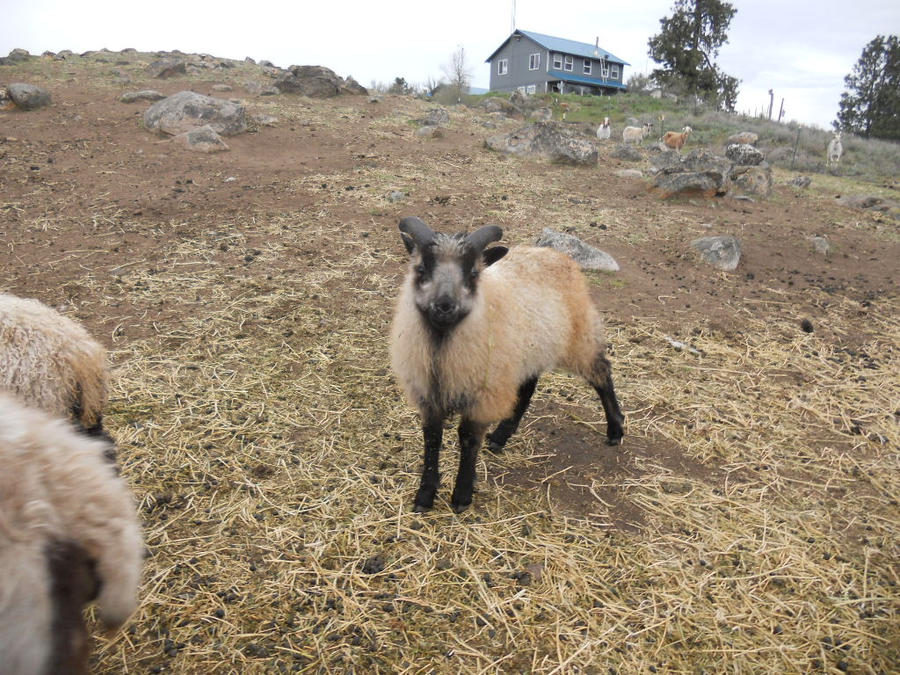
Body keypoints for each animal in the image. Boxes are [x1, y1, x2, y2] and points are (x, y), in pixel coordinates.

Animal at [386, 217, 624, 512]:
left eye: (473, 274)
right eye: (420, 268)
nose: (444, 306)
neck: (443, 348)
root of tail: (554, 254)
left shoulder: (483, 396)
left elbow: (467, 438)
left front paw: (462, 496)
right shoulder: (427, 395)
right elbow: (432, 440)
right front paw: (425, 496)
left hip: (578, 337)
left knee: (602, 373)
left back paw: (615, 429)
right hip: (527, 351)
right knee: (529, 387)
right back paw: (502, 435)